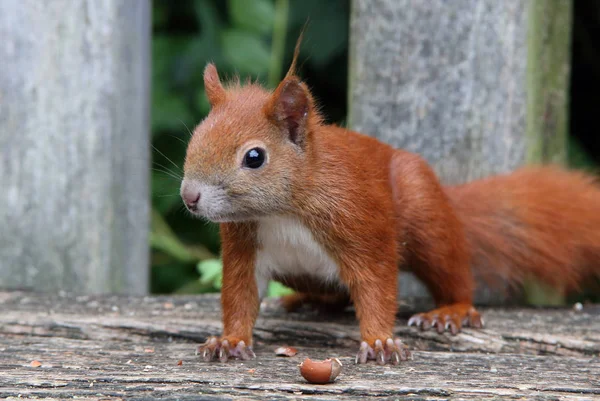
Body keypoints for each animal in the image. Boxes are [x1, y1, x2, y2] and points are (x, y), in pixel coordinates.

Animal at [178, 39, 600, 364]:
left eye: (254, 157)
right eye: (195, 137)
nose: (189, 196)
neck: (283, 212)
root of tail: (449, 202)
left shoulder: (361, 223)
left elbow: (376, 285)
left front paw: (380, 341)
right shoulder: (243, 244)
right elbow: (239, 295)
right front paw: (230, 340)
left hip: (427, 218)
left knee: (454, 273)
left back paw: (451, 311)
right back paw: (302, 301)